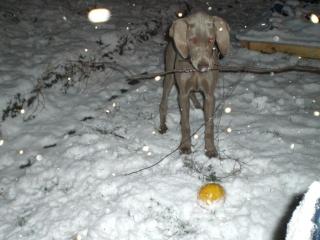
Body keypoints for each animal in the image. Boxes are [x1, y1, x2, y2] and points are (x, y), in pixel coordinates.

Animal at [159, 11, 230, 158]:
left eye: (211, 40)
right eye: (192, 40)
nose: (204, 67)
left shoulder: (209, 95)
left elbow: (209, 124)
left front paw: (210, 149)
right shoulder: (183, 93)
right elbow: (186, 123)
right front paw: (185, 146)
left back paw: (197, 105)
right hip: (169, 76)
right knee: (163, 102)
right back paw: (162, 126)